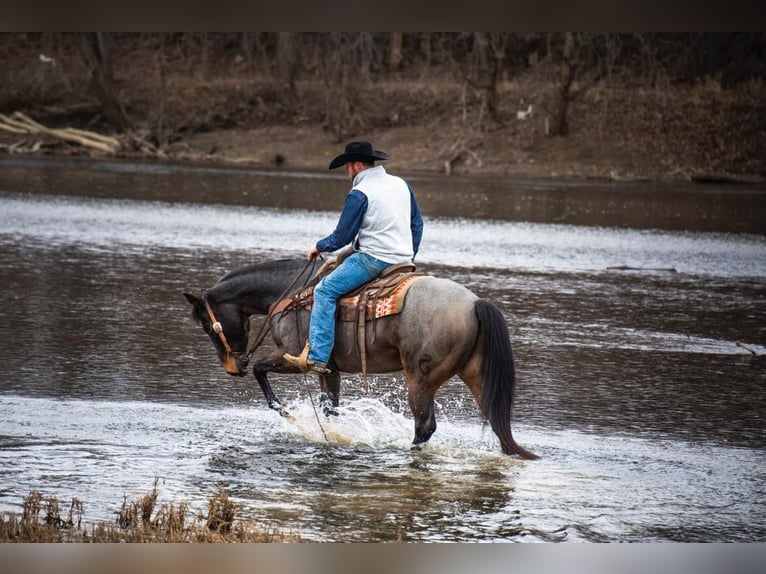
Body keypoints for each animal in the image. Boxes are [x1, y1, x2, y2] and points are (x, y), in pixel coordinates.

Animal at [184, 258, 540, 462]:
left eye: (206, 325)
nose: (232, 368)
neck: (289, 293)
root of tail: (475, 303)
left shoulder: (294, 357)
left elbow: (261, 370)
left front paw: (288, 412)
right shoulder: (329, 369)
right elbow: (330, 408)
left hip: (421, 377)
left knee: (425, 425)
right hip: (476, 375)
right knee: (497, 421)